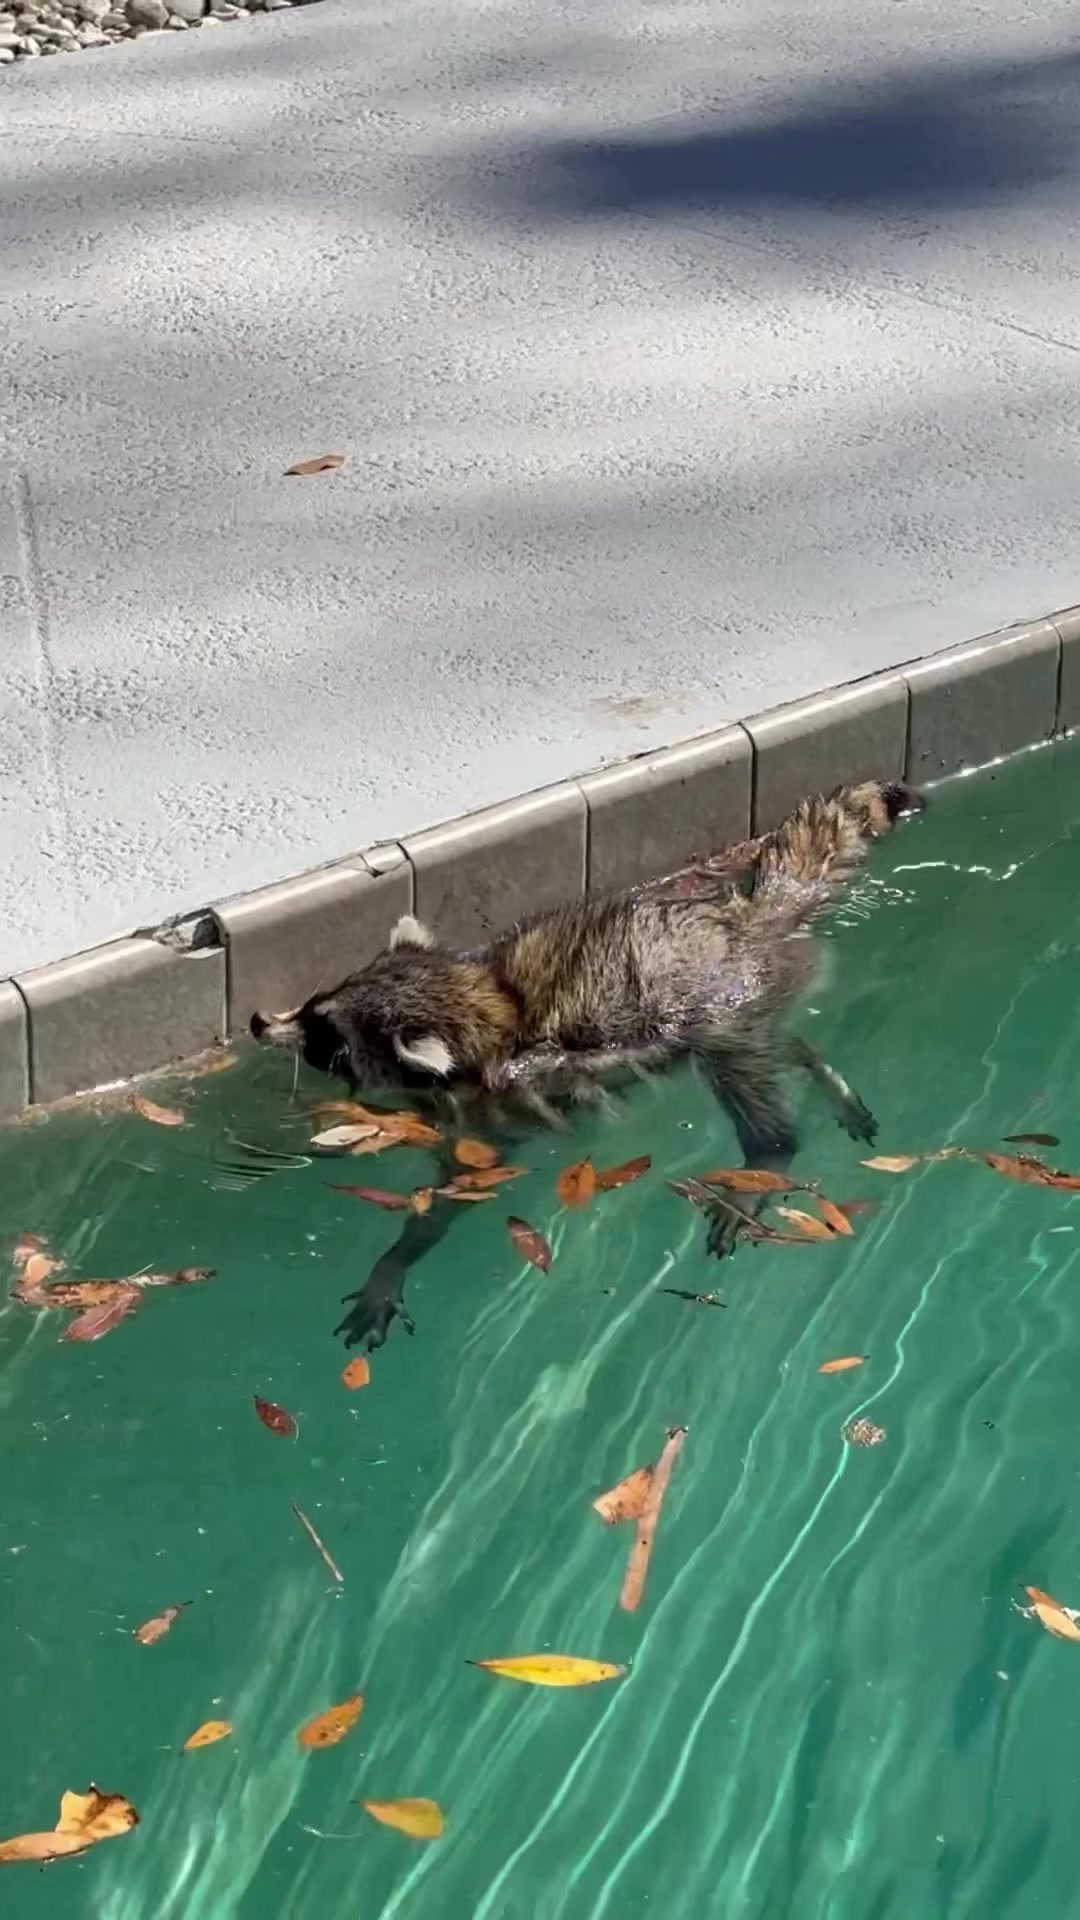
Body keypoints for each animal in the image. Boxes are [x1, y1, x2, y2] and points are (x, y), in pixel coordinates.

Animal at [253, 778, 919, 1217]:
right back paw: (812, 1063)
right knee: (782, 1045)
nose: (260, 1021)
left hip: (722, 1013)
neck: (495, 1006)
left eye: (324, 1035)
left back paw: (770, 1155)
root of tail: (746, 918)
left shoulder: (511, 1095)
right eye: (316, 1003)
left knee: (750, 1082)